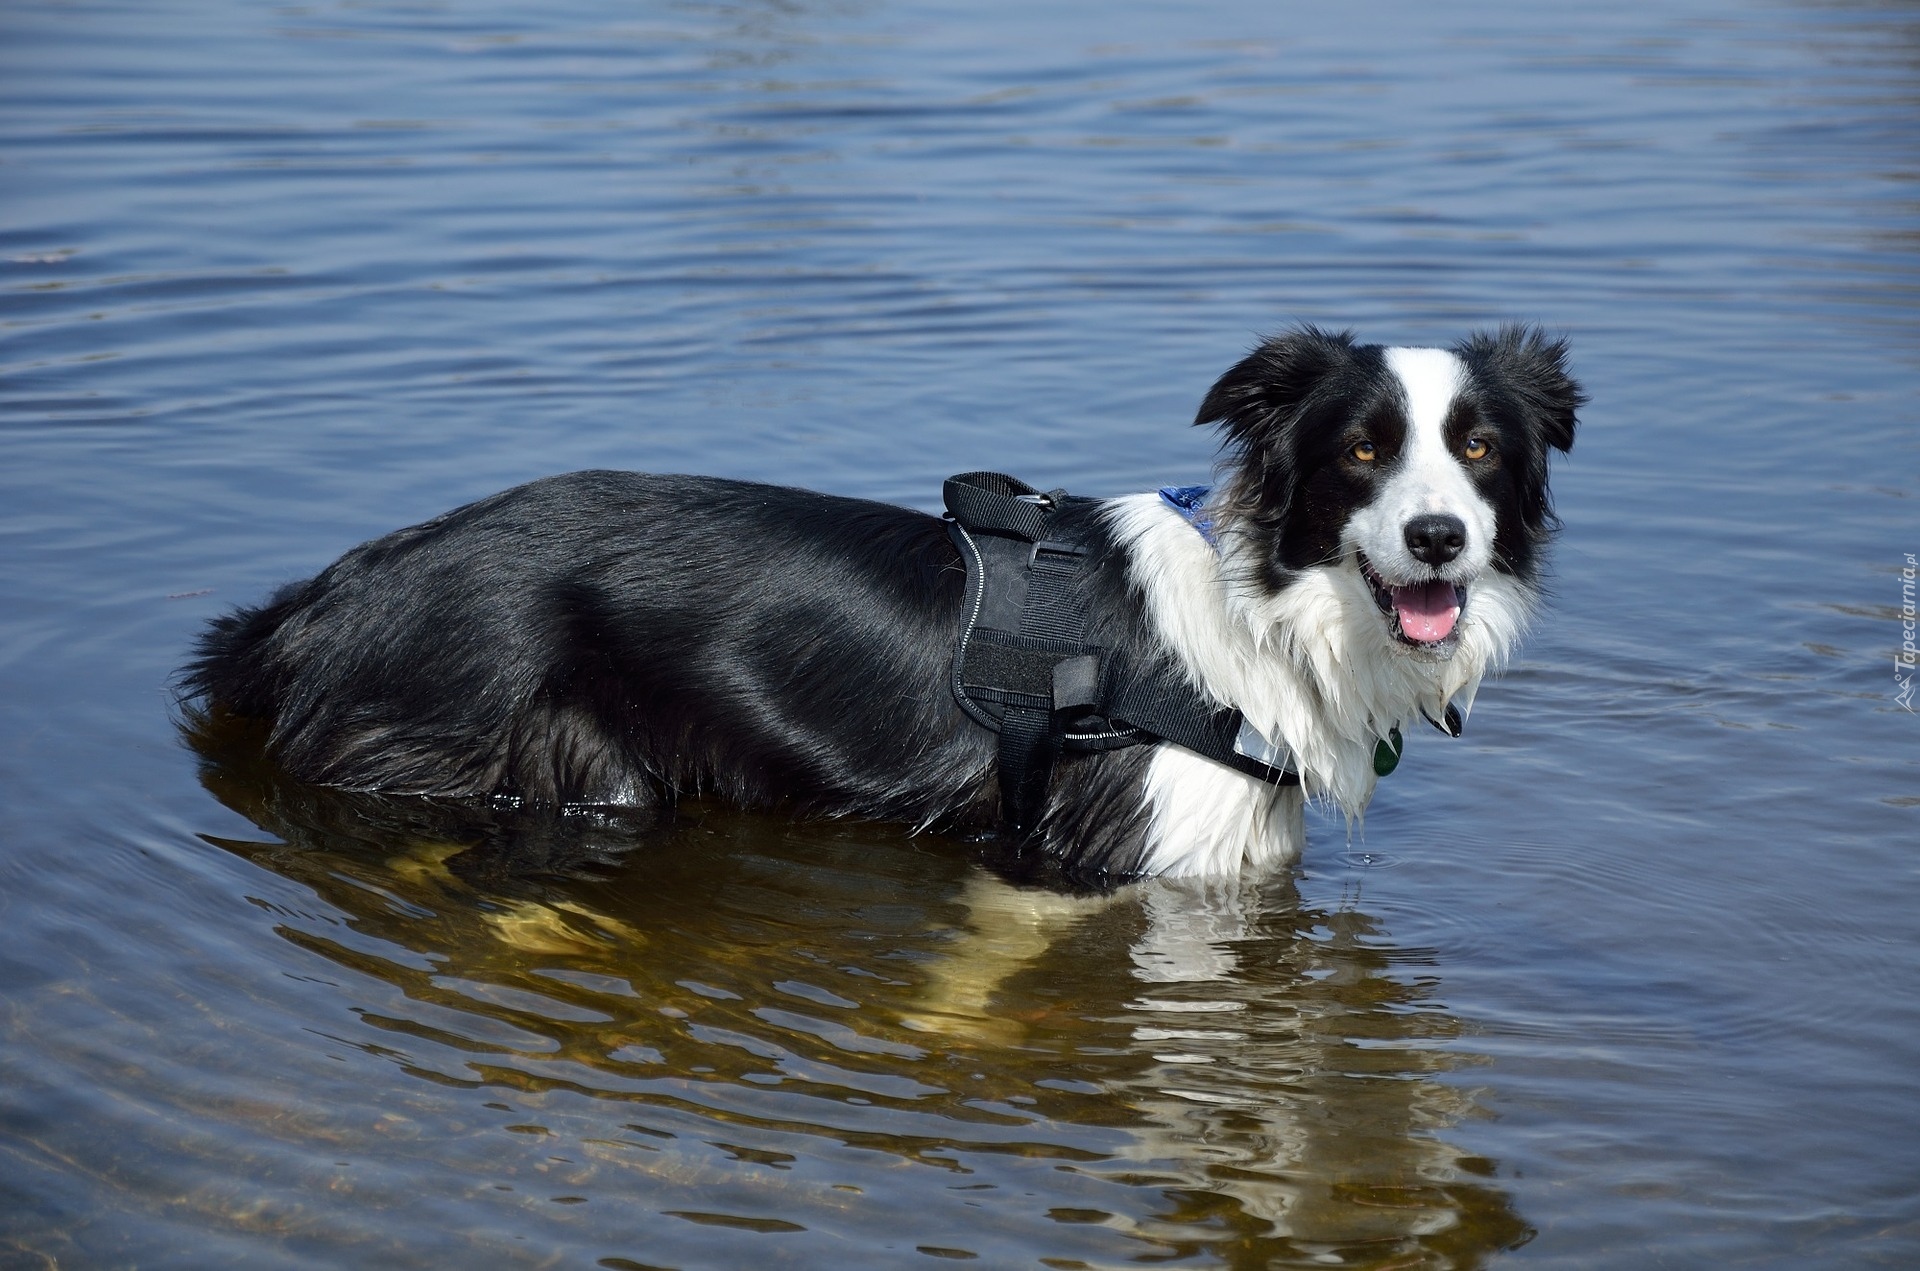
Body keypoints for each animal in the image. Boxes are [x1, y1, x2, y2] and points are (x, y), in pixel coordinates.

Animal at [187, 328, 1582, 887]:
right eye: (1361, 450)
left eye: (1478, 449)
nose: (1441, 539)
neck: (1273, 613)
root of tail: (318, 598)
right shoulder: (1126, 853)